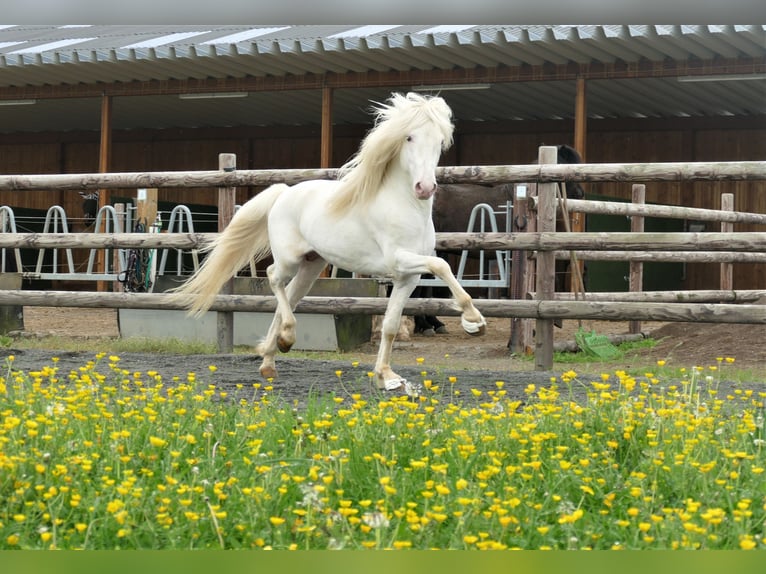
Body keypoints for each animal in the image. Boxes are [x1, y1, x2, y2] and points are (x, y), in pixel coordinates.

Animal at [172, 92, 488, 398]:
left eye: (440, 142)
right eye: (409, 137)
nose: (425, 188)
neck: (404, 206)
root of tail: (283, 192)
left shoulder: (406, 277)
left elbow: (390, 326)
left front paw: (387, 378)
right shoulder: (398, 260)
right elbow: (442, 264)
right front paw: (474, 321)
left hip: (312, 266)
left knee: (289, 297)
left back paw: (270, 361)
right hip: (290, 260)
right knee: (274, 278)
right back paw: (286, 338)